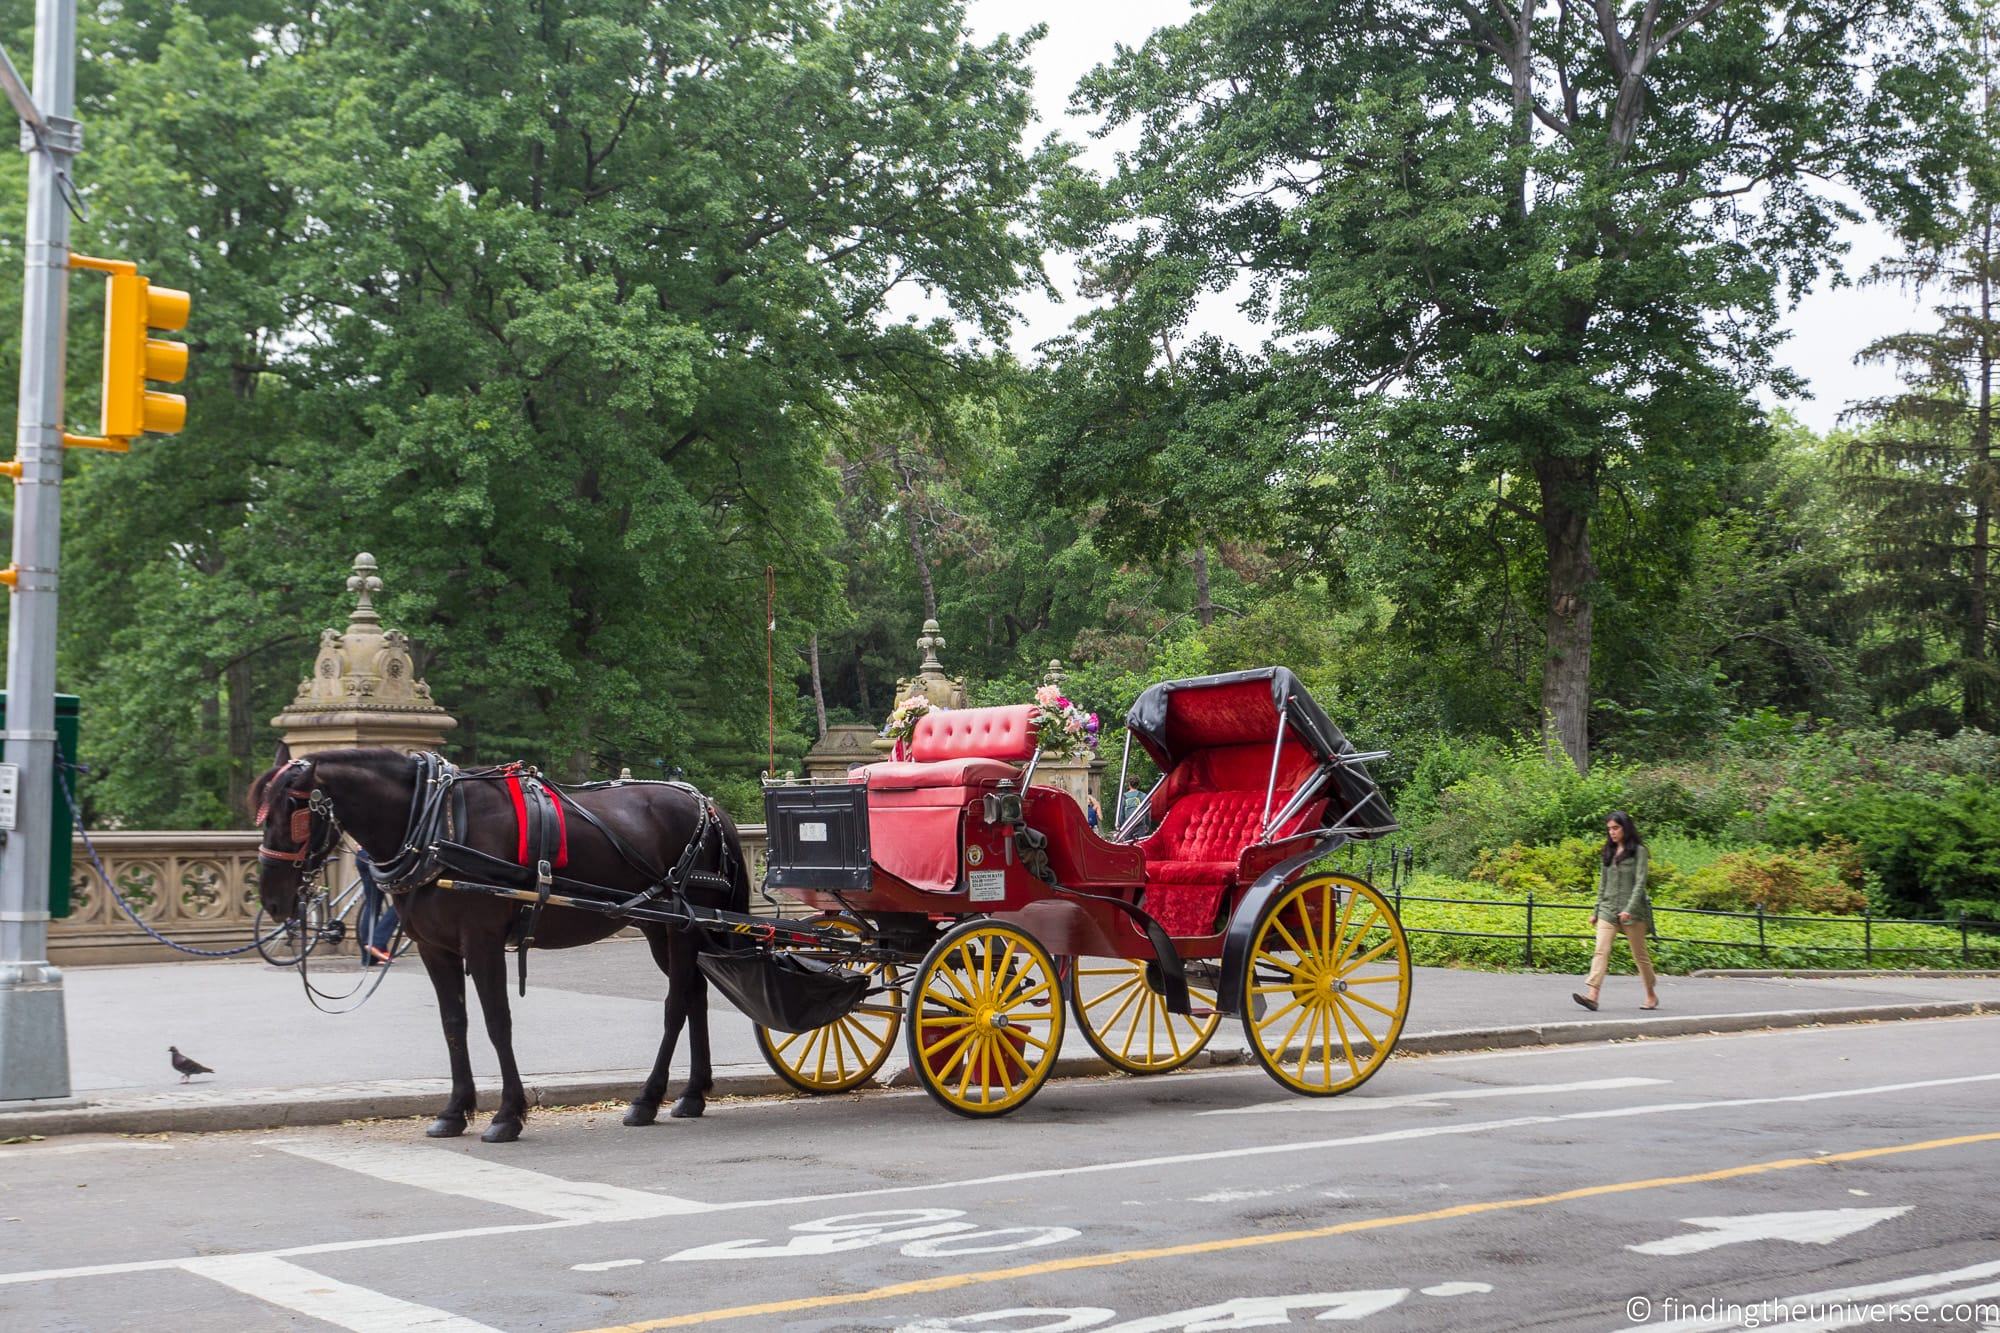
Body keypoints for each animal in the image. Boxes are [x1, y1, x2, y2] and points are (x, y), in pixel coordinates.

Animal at [252, 740, 752, 1136]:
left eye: (294, 810)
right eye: (262, 812)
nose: (274, 899)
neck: (437, 826)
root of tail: (708, 805)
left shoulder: (482, 942)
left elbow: (497, 1022)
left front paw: (508, 1115)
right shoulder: (437, 949)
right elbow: (454, 1024)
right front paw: (455, 1111)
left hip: (684, 923)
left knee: (676, 1002)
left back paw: (648, 1098)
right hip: (661, 926)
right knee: (695, 994)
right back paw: (692, 1094)